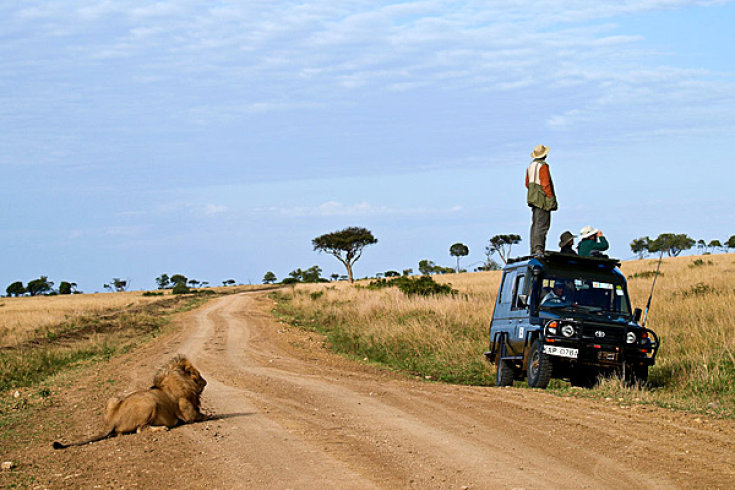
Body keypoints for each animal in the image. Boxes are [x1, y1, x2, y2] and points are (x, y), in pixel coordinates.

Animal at [53, 354, 207, 450]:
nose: (205, 382)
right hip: (150, 402)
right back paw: (163, 428)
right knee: (141, 429)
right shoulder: (189, 415)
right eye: (198, 374)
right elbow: (205, 416)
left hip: (113, 399)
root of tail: (113, 420)